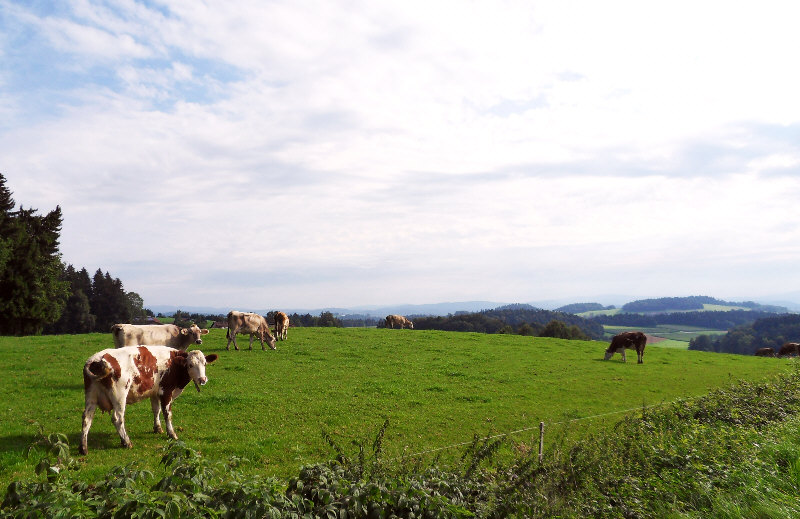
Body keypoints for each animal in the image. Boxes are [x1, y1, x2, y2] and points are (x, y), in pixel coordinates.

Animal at [79, 346, 217, 456]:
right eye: (190, 365)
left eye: (204, 363)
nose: (202, 379)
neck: (174, 364)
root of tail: (97, 359)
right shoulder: (166, 392)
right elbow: (167, 414)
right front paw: (172, 434)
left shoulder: (154, 393)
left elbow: (156, 410)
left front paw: (157, 428)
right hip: (119, 396)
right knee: (117, 418)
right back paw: (126, 442)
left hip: (91, 396)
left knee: (87, 418)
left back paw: (83, 448)